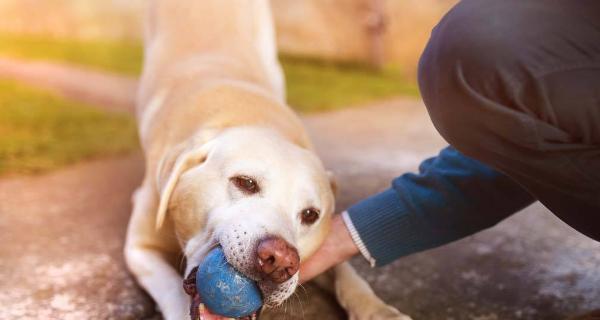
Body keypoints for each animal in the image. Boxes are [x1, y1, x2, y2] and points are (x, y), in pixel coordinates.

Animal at [123, 1, 410, 318]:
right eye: (245, 183)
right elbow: (172, 290)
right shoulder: (141, 248)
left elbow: (347, 273)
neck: (249, 113)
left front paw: (379, 310)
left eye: (310, 215)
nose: (281, 260)